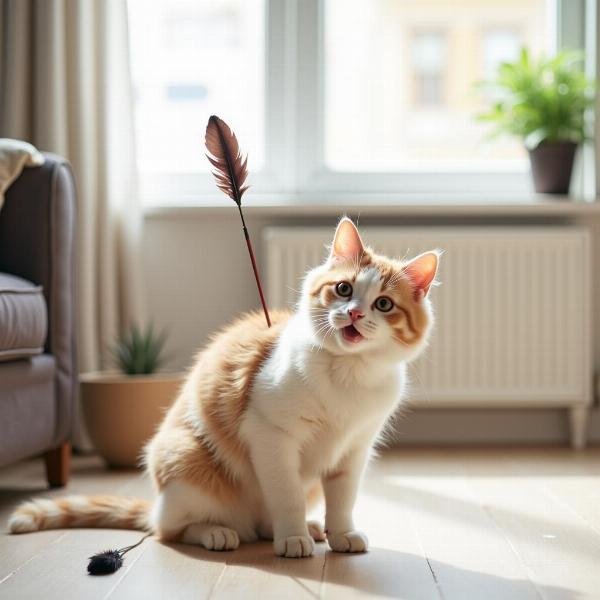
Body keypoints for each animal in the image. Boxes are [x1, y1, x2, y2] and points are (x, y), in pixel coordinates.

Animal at [7, 218, 438, 560]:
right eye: (344, 289)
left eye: (384, 304)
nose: (354, 313)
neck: (347, 373)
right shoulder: (270, 436)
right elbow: (287, 495)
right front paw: (293, 537)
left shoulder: (355, 448)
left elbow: (344, 497)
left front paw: (342, 532)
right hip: (186, 462)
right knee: (169, 530)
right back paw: (219, 532)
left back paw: (310, 528)